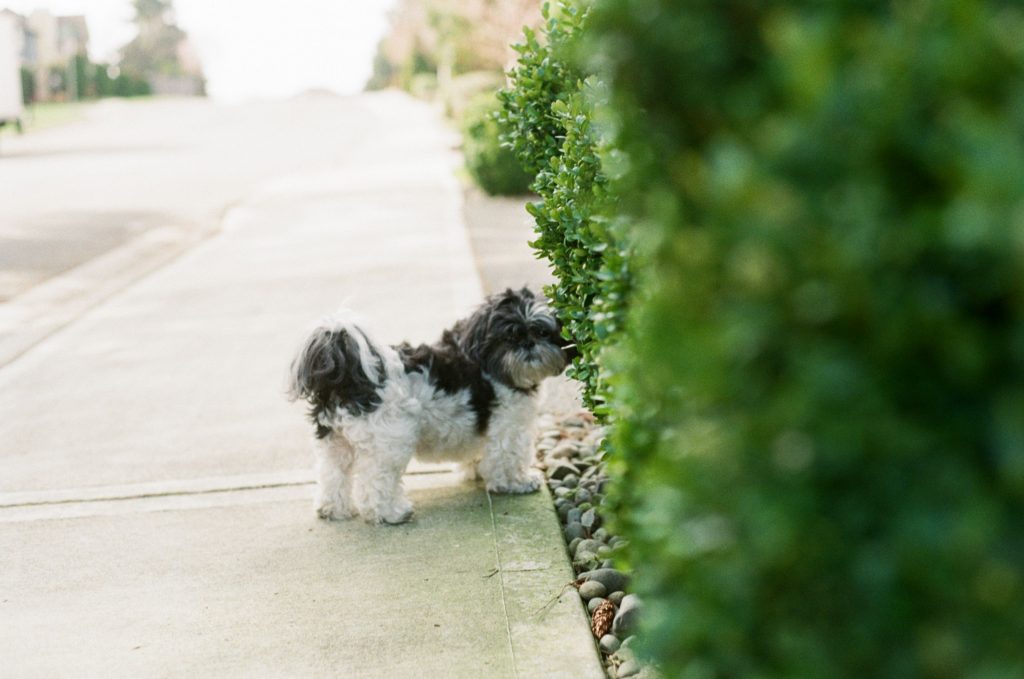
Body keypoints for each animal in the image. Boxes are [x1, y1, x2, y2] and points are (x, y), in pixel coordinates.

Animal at [288, 286, 577, 524]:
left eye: (543, 332)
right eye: (509, 336)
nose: (528, 344)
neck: (490, 364)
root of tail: (349, 378)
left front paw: (475, 471)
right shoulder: (510, 426)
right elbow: (508, 458)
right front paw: (516, 482)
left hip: (335, 442)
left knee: (332, 474)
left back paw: (332, 509)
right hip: (389, 443)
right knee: (376, 481)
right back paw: (391, 513)